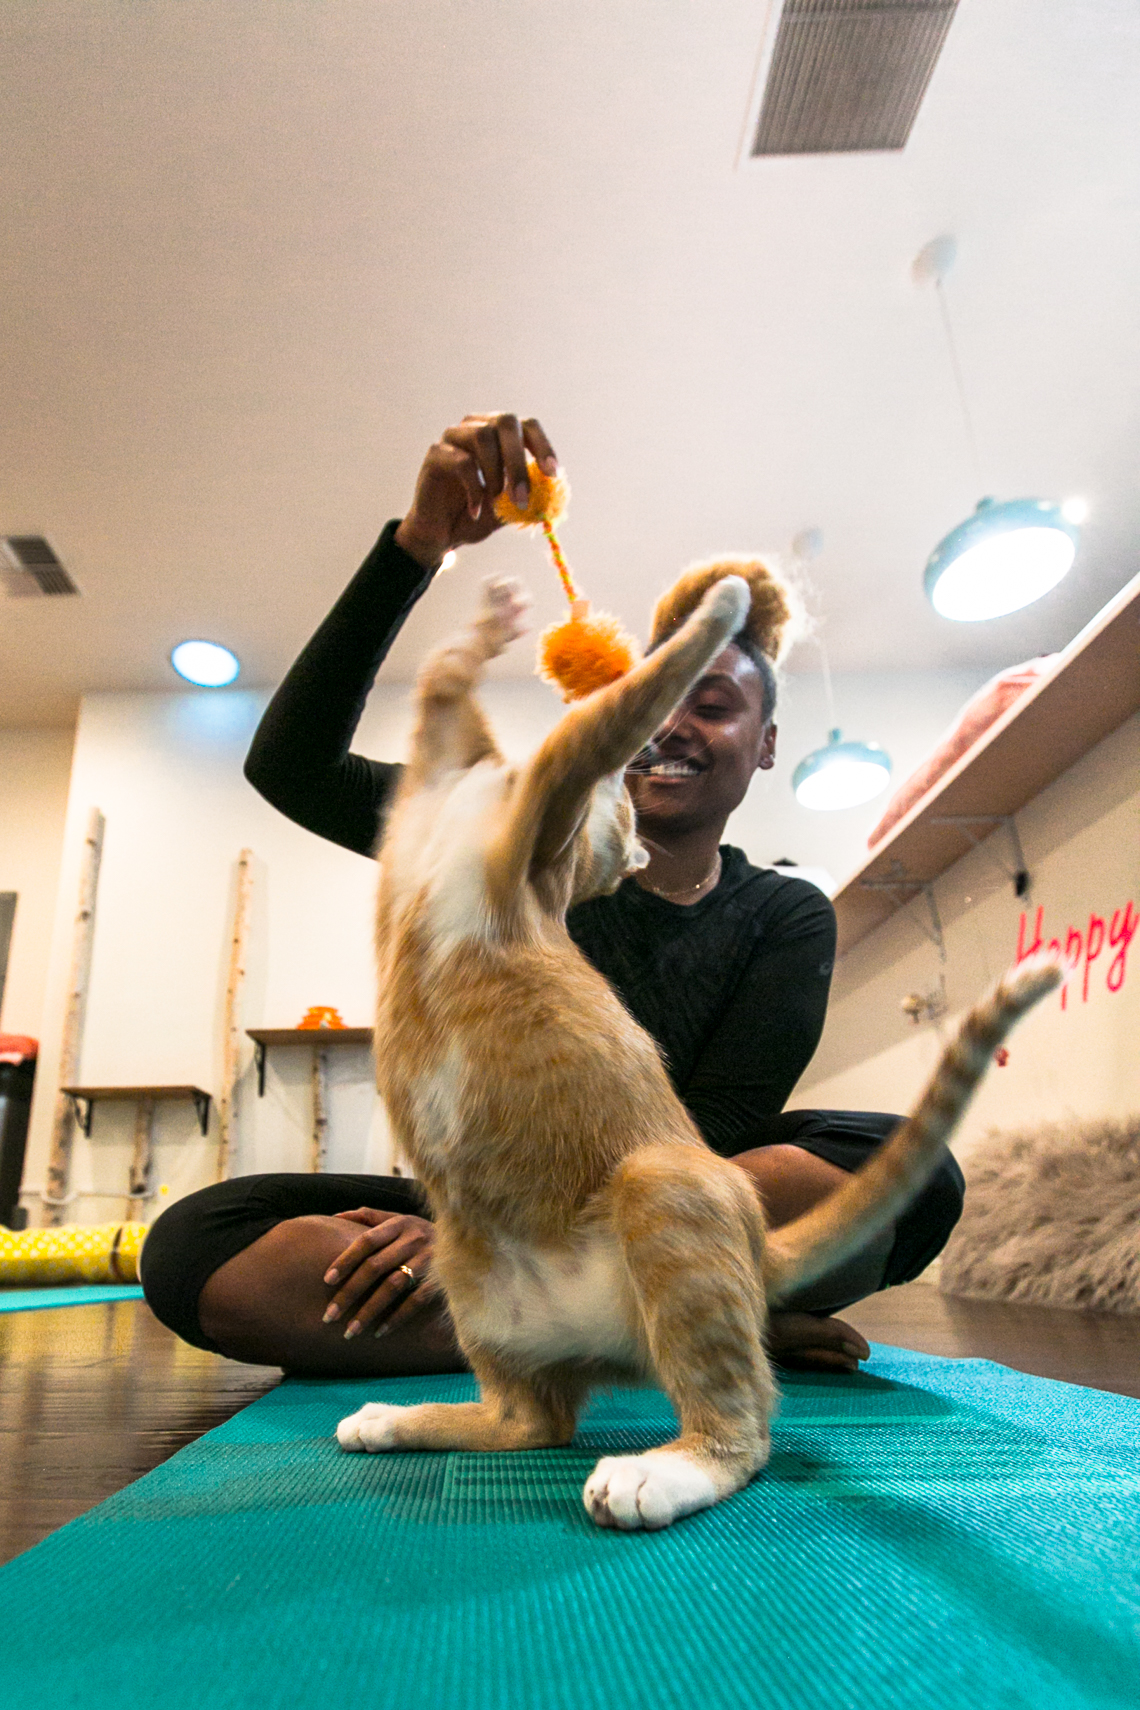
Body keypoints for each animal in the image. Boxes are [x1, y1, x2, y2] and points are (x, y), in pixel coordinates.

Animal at [336, 571, 1059, 1525]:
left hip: (660, 1183)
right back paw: (395, 1418)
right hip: (464, 1261)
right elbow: (452, 678)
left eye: (711, 710)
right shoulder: (449, 766)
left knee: (737, 1423)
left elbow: (618, 705)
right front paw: (493, 620)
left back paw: (661, 1471)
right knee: (532, 1423)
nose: (633, 840)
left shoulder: (544, 802)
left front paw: (719, 606)